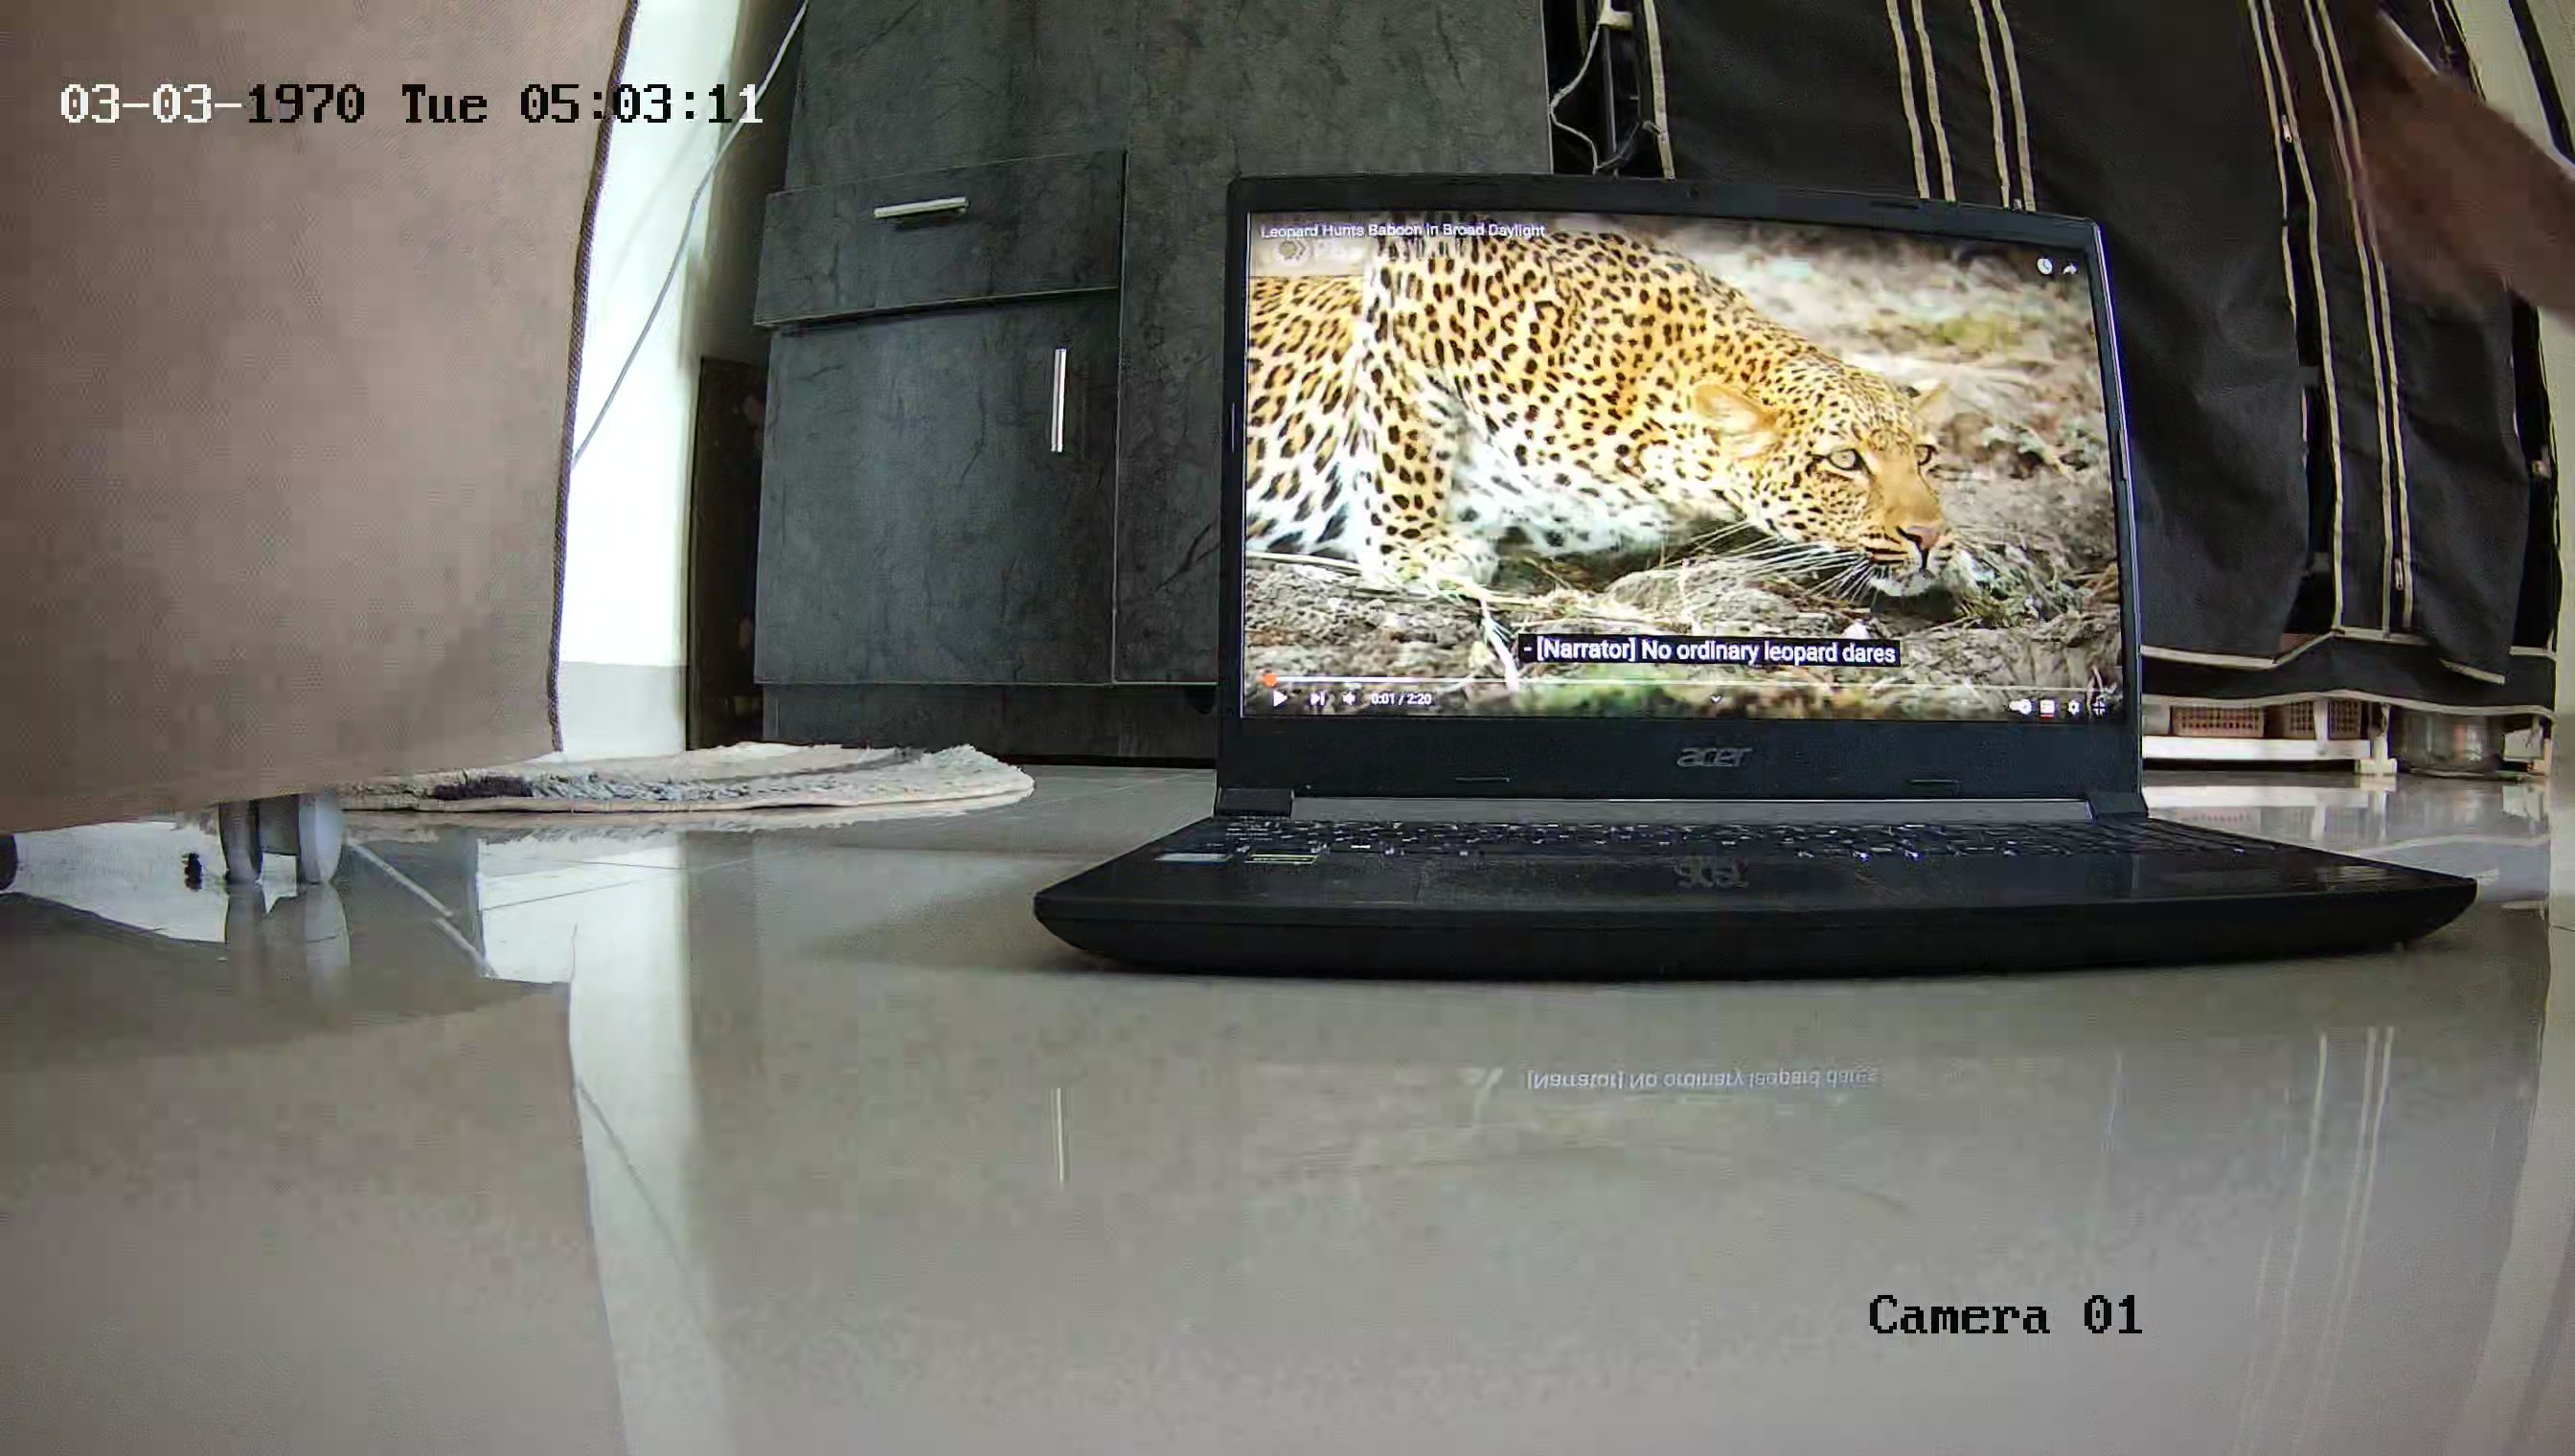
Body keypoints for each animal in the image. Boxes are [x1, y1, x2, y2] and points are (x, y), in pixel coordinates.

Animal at [1241, 224, 1961, 599]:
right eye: (1846, 462)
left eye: (1925, 457)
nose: (1927, 537)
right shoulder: (1423, 281)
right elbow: (1405, 443)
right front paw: (1414, 554)